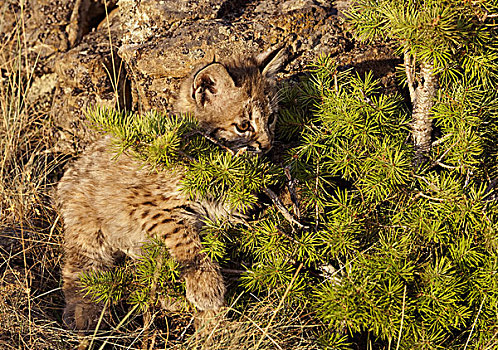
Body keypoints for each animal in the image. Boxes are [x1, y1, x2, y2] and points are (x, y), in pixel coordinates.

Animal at [56, 47, 286, 330]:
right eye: (243, 126)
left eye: (271, 118)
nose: (267, 145)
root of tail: (71, 169)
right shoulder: (145, 204)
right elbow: (186, 239)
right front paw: (206, 288)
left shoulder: (223, 216)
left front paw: (211, 322)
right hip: (88, 226)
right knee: (79, 267)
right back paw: (83, 314)